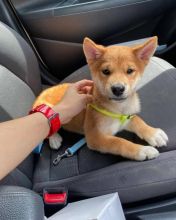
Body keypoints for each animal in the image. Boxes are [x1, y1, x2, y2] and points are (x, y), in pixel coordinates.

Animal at [34, 37, 168, 161]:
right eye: (106, 71)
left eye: (130, 71)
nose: (118, 89)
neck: (118, 110)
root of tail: (44, 91)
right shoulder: (95, 137)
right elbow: (119, 142)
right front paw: (142, 150)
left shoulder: (126, 117)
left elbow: (137, 120)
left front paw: (153, 133)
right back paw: (54, 139)